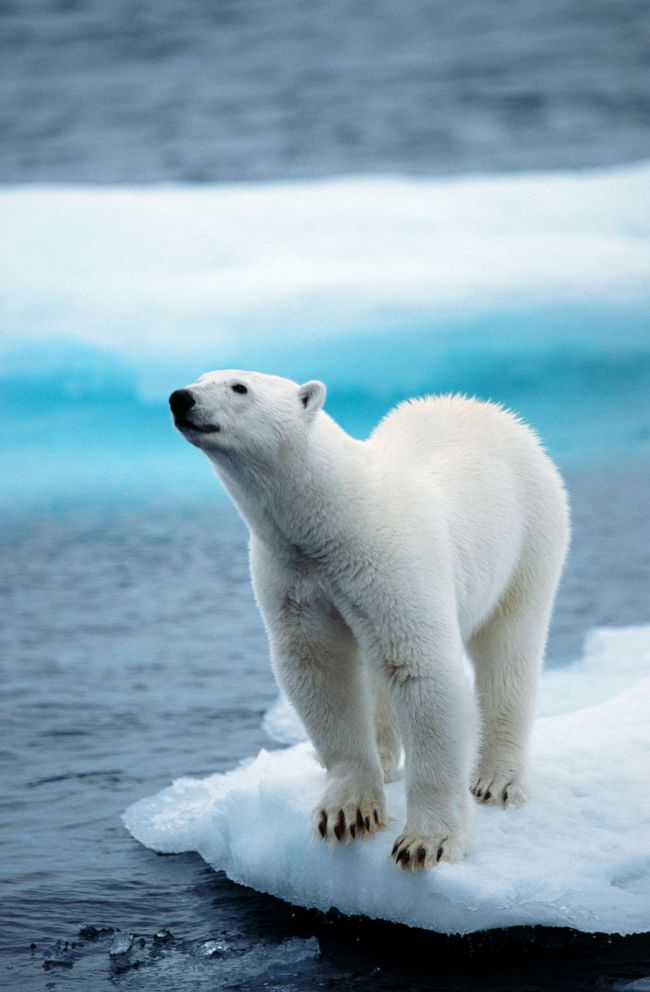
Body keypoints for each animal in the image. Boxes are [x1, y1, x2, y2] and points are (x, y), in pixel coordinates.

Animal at [168, 370, 568, 868]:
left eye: (239, 387)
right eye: (199, 378)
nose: (180, 398)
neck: (335, 516)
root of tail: (494, 411)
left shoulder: (389, 561)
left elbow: (420, 669)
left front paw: (427, 841)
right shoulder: (294, 574)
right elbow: (319, 669)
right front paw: (347, 812)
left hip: (530, 533)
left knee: (509, 647)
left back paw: (497, 779)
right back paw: (385, 757)